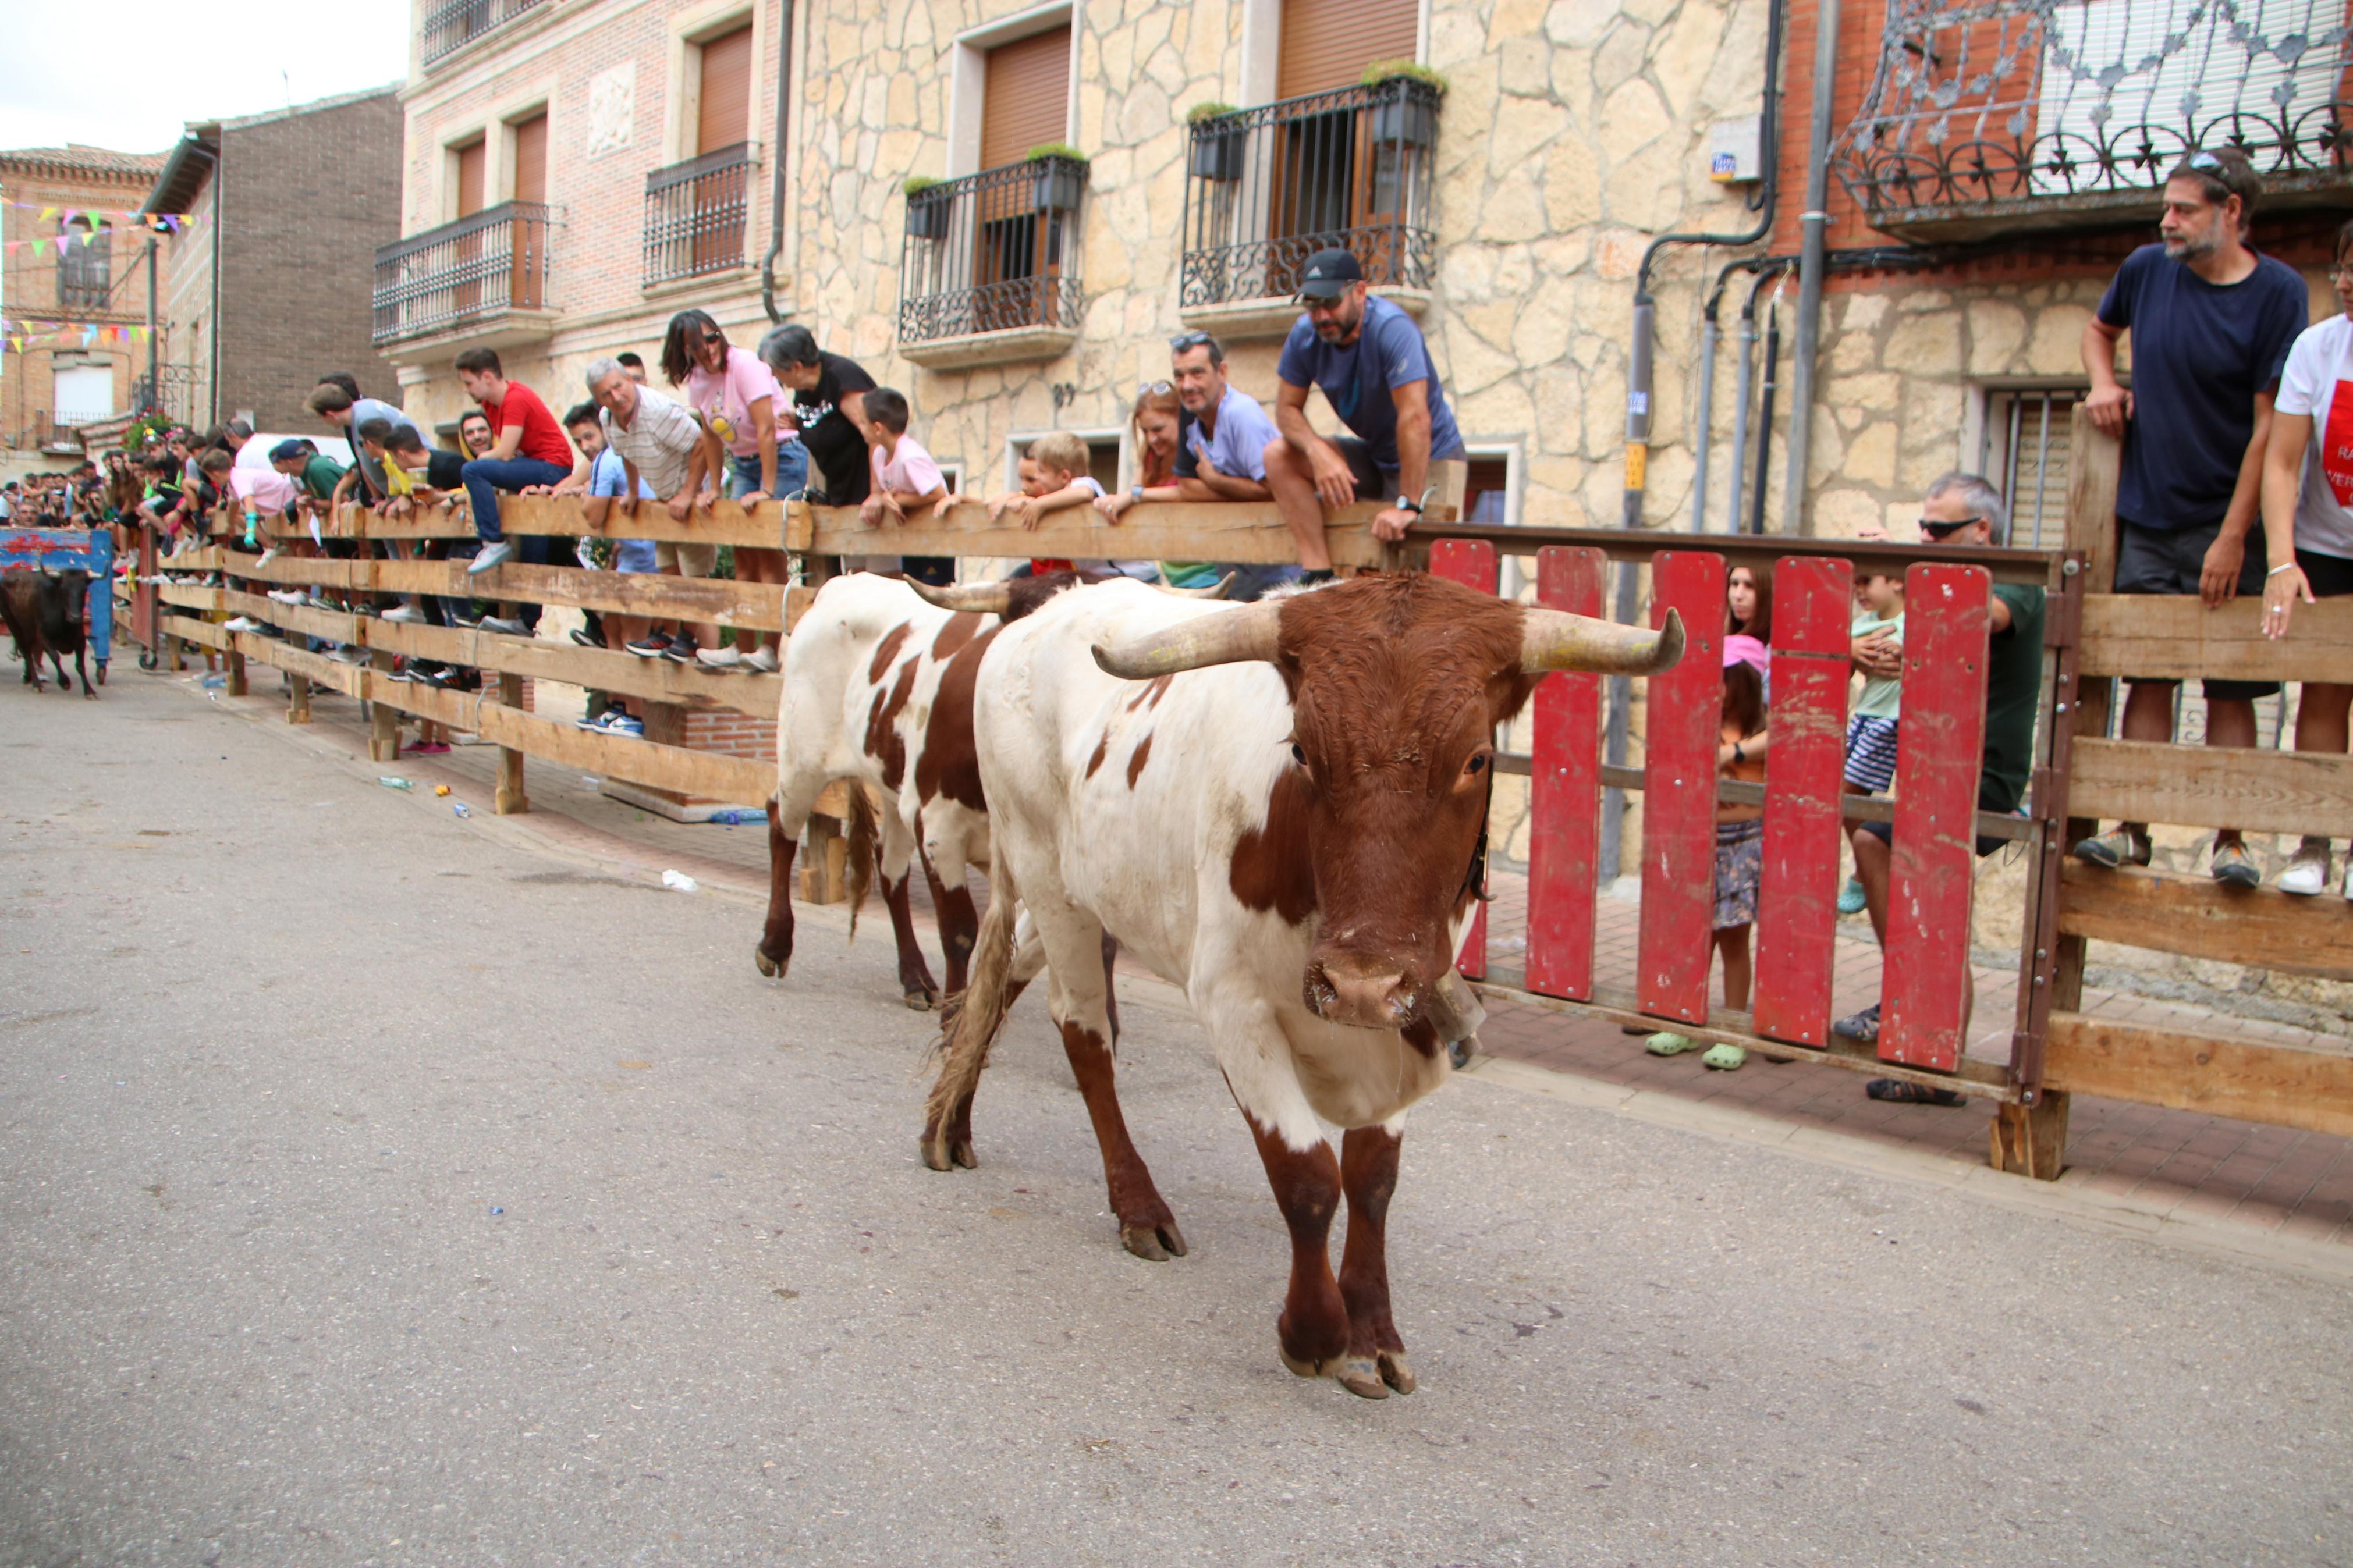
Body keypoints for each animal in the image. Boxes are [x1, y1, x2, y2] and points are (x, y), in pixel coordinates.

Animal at [917, 573, 1675, 1401]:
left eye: (1475, 759)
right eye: (1303, 751)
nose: (1358, 984)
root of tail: (1045, 610)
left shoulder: (1405, 1011)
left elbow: (1372, 1179)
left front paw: (1374, 1334)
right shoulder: (1233, 1005)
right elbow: (1307, 1176)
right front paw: (1313, 1334)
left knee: (1001, 974)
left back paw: (948, 1122)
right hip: (1049, 880)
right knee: (1080, 1031)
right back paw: (1136, 1205)